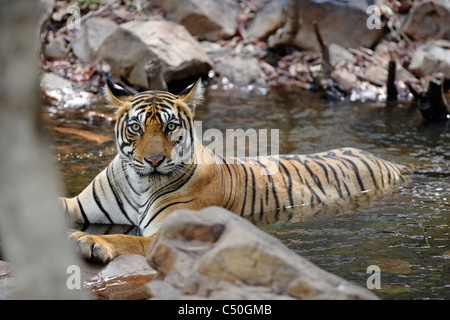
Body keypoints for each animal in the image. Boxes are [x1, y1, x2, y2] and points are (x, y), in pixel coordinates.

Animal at [62, 79, 412, 262]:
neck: (139, 183)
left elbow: (126, 239)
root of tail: (388, 160)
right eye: (135, 127)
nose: (154, 161)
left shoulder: (168, 232)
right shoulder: (79, 204)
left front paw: (90, 241)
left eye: (170, 127)